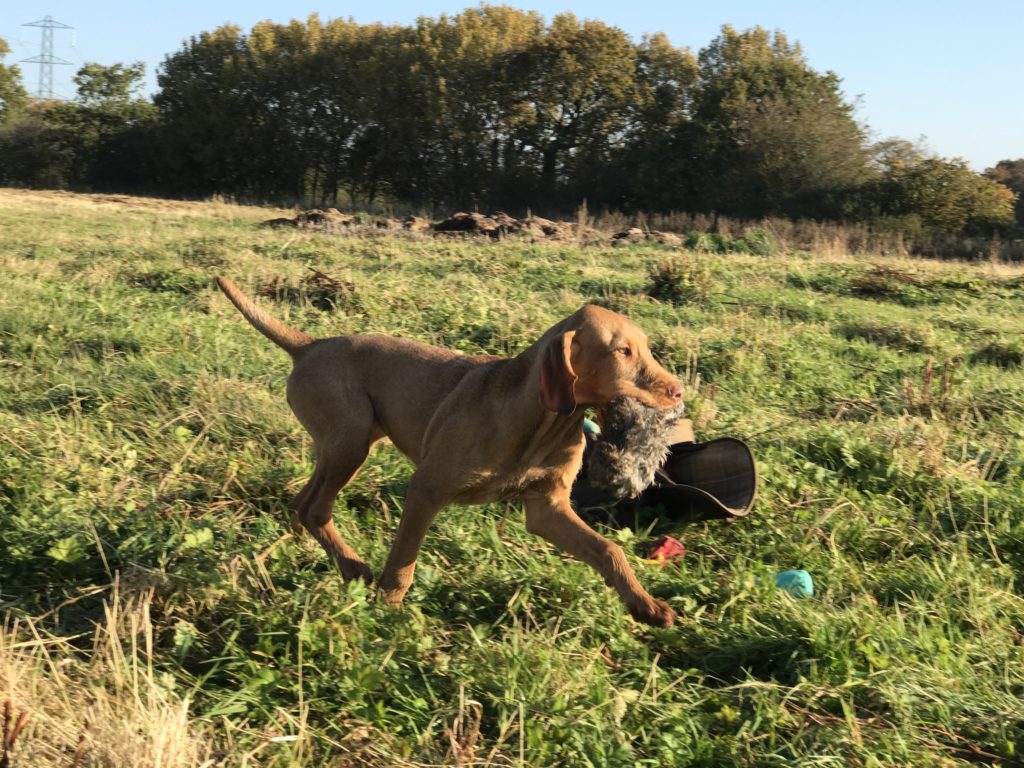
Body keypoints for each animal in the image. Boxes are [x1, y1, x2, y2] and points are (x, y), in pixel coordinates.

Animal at [215, 280, 684, 626]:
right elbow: (403, 561)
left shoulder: (546, 506)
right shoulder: (425, 488)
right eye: (622, 351)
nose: (679, 391)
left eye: (646, 347)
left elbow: (608, 550)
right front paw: (388, 613)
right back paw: (353, 566)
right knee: (315, 508)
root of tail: (310, 345)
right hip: (350, 439)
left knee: (302, 504)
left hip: (342, 445)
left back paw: (330, 563)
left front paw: (645, 605)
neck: (540, 422)